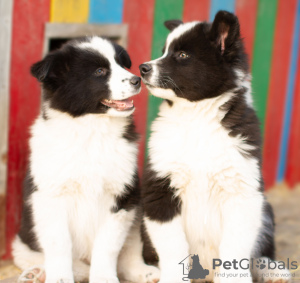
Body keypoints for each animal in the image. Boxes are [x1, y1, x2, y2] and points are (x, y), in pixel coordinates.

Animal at [12, 36, 161, 283]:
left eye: (122, 64)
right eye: (100, 71)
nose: (137, 79)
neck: (92, 129)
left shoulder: (121, 198)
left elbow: (108, 246)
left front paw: (104, 278)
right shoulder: (49, 198)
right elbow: (59, 244)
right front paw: (60, 278)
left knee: (129, 253)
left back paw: (145, 272)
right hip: (23, 238)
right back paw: (37, 273)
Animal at [140, 11, 290, 283]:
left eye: (182, 55)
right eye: (163, 51)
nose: (143, 68)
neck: (198, 116)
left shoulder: (242, 193)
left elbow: (235, 249)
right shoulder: (160, 190)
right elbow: (172, 247)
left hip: (265, 209)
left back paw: (272, 269)